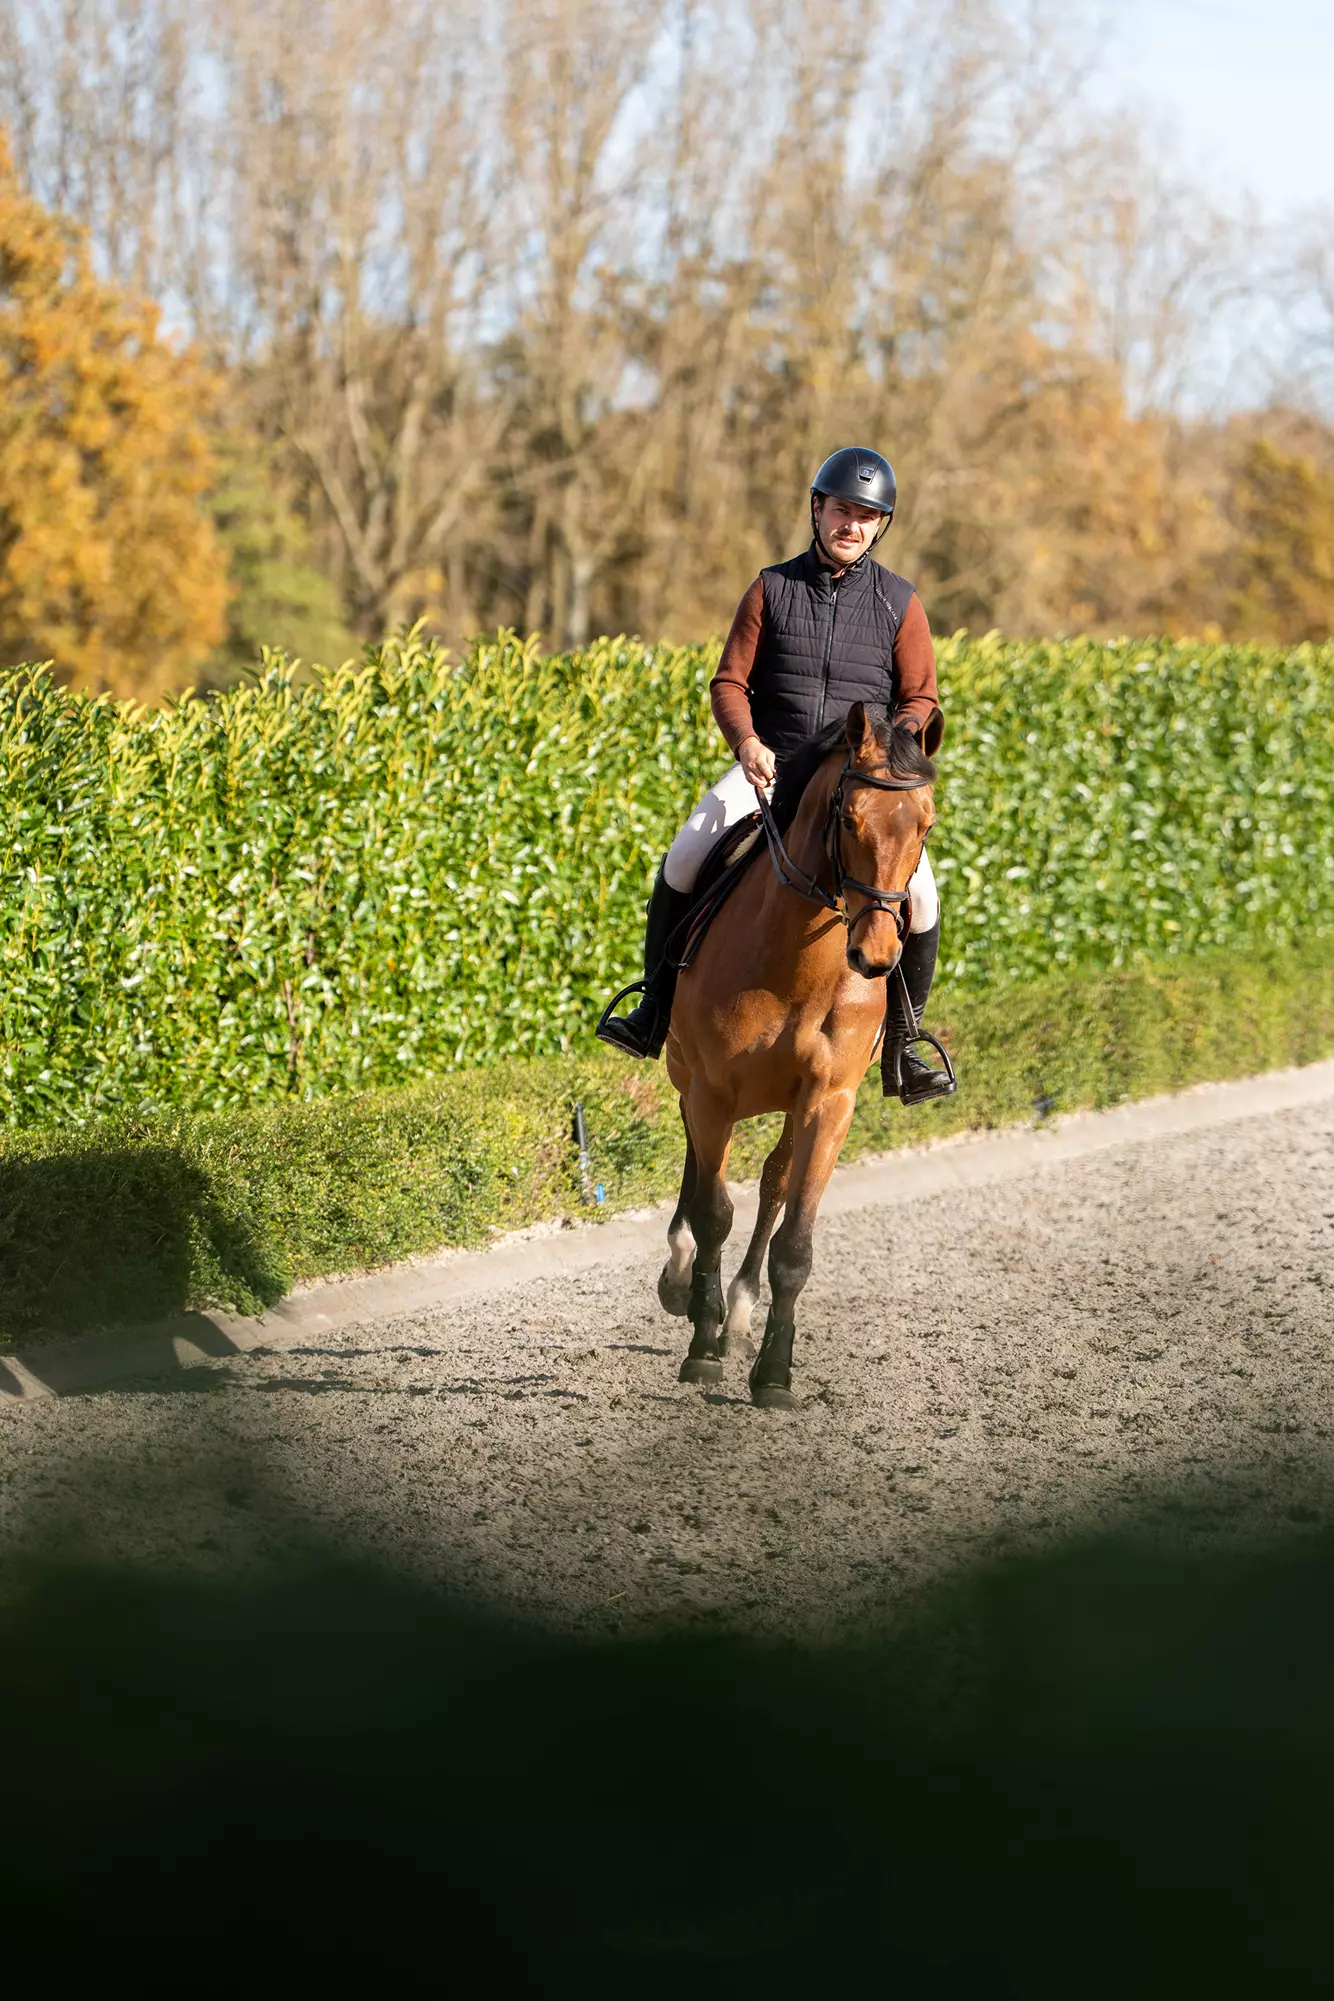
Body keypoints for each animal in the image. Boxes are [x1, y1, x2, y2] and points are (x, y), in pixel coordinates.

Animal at [658, 700, 939, 1409]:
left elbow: (795, 1243)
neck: (796, 965)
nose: (876, 956)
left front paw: (773, 1372)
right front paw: (702, 1346)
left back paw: (740, 1310)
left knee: (774, 1183)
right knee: (699, 1167)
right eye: (849, 818)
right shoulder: (712, 1090)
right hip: (686, 1075)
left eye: (925, 825)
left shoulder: (829, 1102)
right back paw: (684, 1280)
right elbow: (714, 1212)